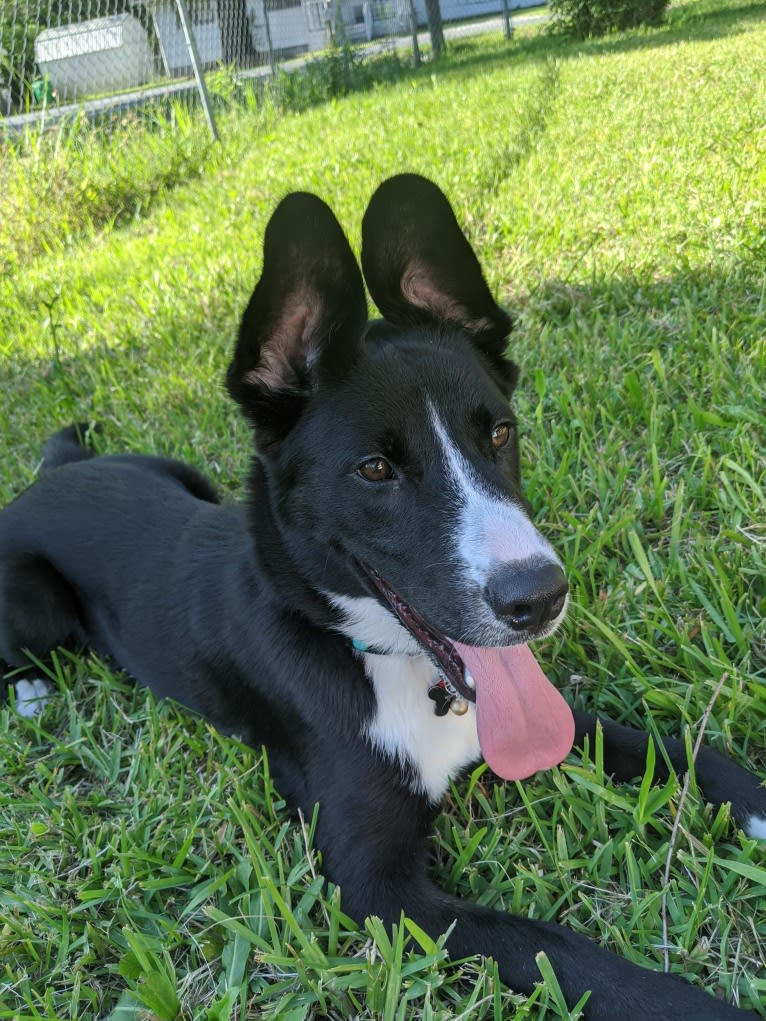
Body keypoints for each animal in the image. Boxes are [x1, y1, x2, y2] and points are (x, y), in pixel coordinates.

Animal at [0, 175, 763, 1012]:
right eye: (375, 470)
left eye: (500, 432)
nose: (540, 598)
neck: (390, 665)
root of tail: (49, 473)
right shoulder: (379, 890)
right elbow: (556, 949)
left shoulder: (552, 722)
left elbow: (678, 748)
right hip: (33, 605)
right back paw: (35, 693)